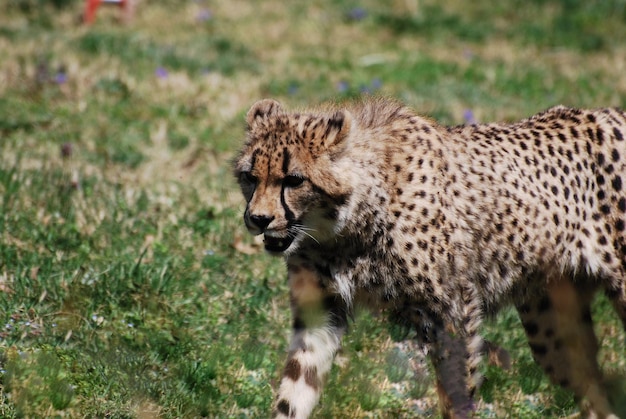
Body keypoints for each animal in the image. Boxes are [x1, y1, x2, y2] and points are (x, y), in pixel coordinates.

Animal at [234, 97, 624, 418]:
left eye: (294, 179)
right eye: (250, 176)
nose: (258, 218)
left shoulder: (453, 311)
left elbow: (457, 394)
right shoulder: (321, 313)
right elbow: (294, 393)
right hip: (551, 328)